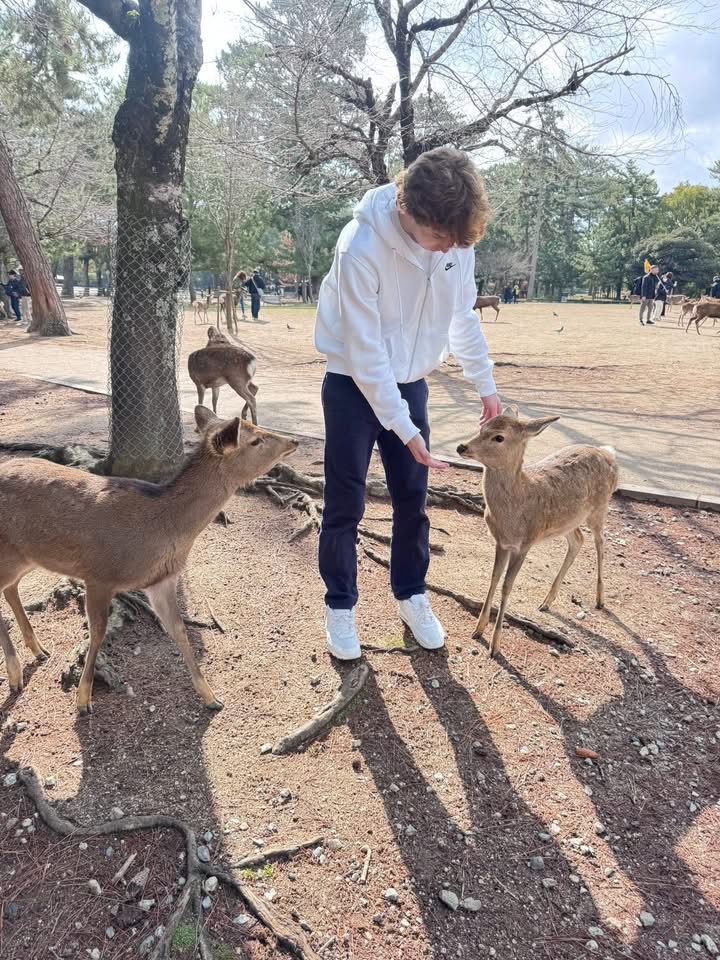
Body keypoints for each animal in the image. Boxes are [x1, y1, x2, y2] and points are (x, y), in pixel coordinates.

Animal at [0, 407, 298, 714]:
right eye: (255, 440)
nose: (293, 441)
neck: (162, 527)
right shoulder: (99, 575)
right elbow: (97, 633)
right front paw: (83, 700)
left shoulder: (161, 580)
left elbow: (179, 630)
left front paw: (211, 697)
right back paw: (15, 673)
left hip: (25, 557)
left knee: (11, 590)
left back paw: (38, 649)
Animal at [456, 407, 618, 658]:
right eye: (482, 427)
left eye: (499, 437)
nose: (461, 447)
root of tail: (608, 454)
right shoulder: (501, 542)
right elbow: (494, 578)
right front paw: (478, 629)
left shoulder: (525, 543)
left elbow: (507, 586)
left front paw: (495, 646)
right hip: (568, 522)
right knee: (578, 540)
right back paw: (547, 601)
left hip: (600, 507)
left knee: (600, 541)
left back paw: (600, 599)